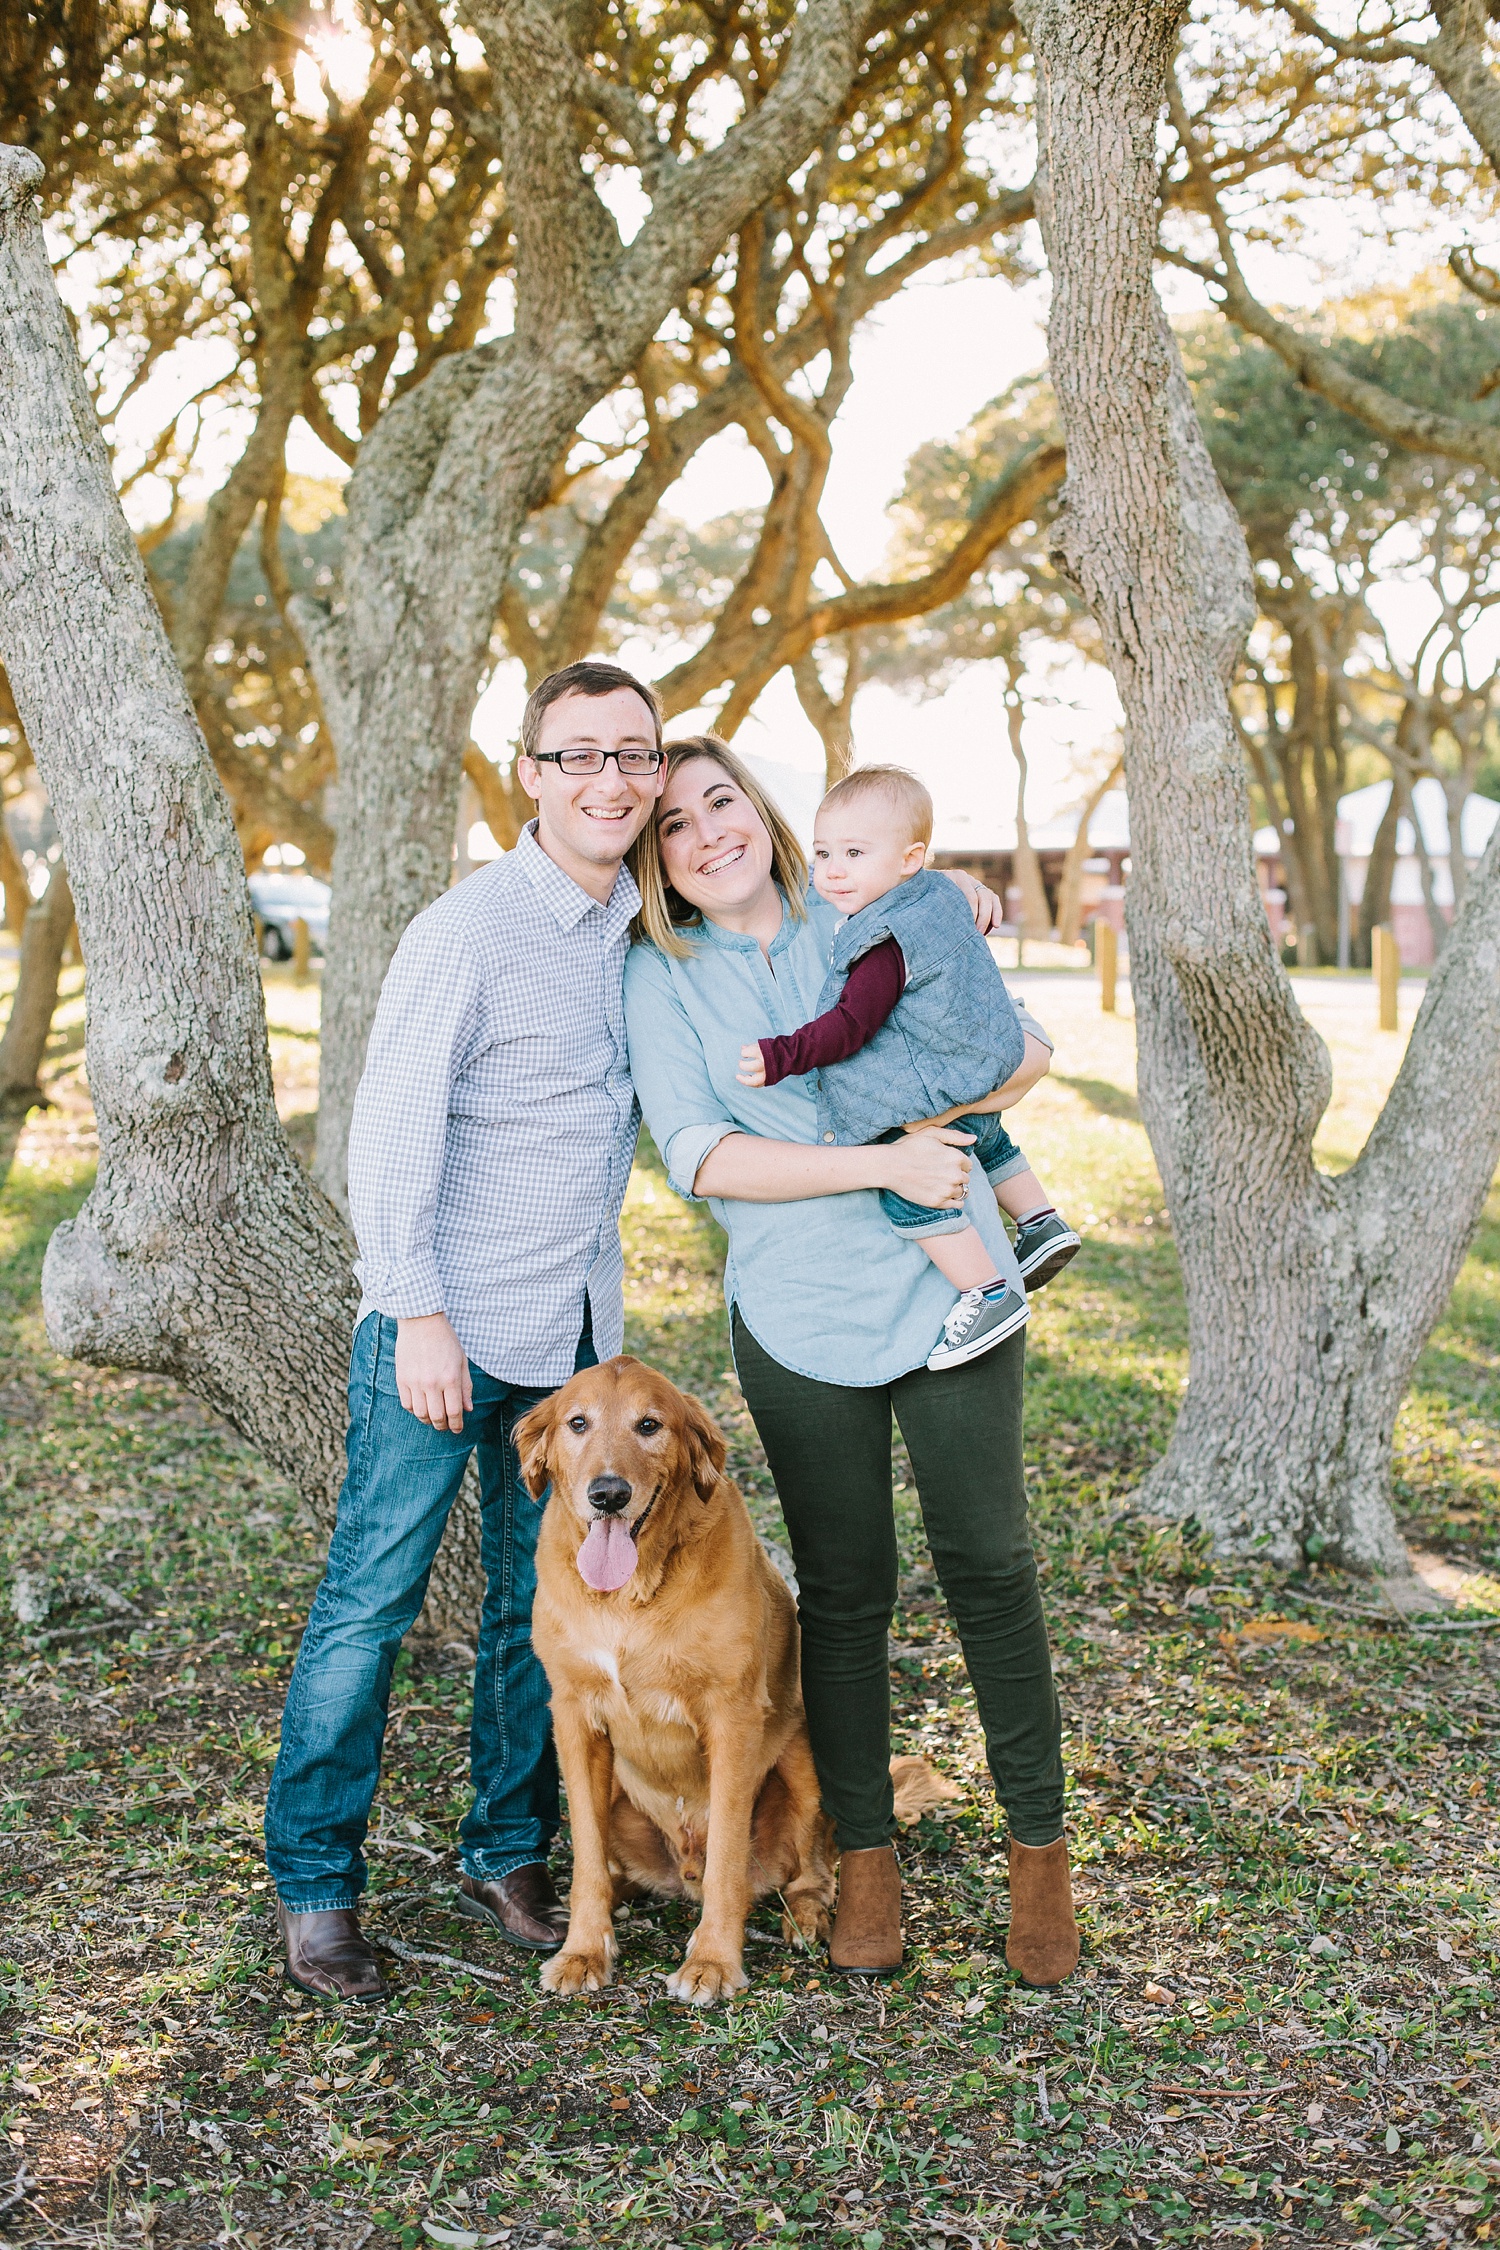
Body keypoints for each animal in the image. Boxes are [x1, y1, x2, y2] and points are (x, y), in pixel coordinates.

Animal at [519, 1350, 841, 2007]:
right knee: (613, 1865)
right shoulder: (574, 1715)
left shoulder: (732, 1716)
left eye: (649, 1426)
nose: (608, 1494)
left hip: (803, 1761)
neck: (630, 1594)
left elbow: (727, 1860)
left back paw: (806, 1914)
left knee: (811, 1867)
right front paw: (584, 1949)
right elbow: (586, 1858)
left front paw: (713, 1960)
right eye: (577, 1423)